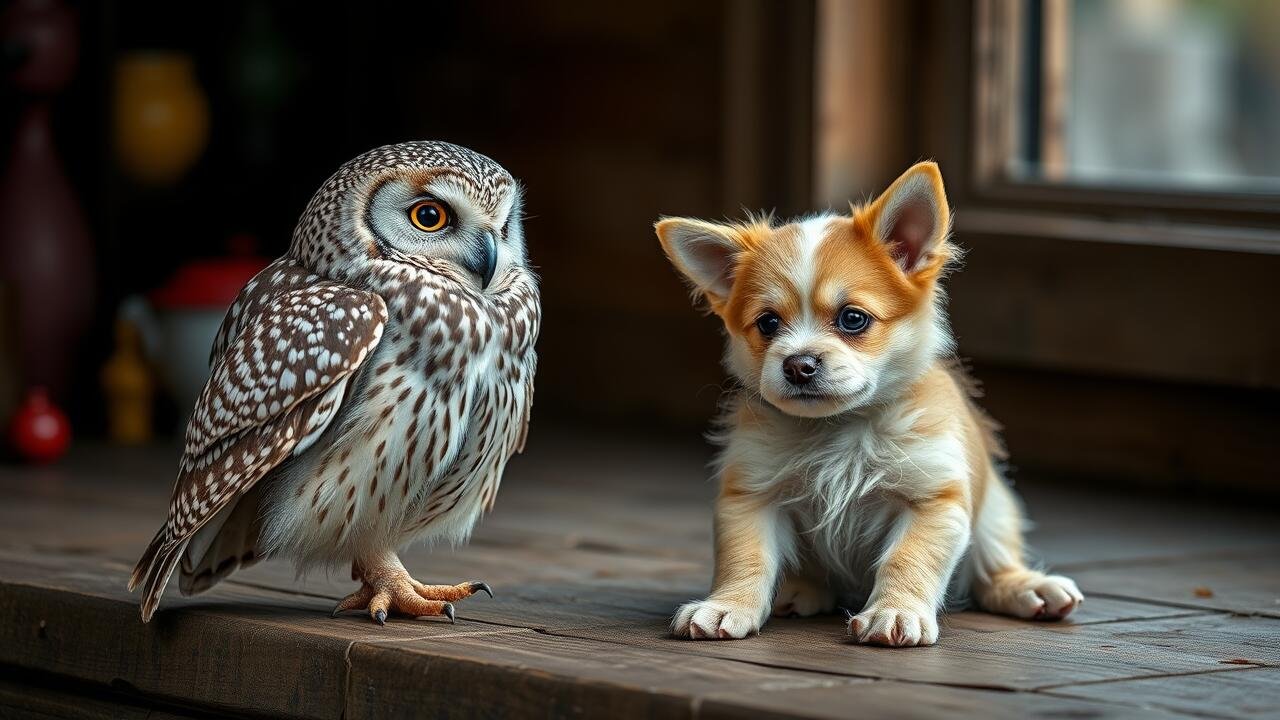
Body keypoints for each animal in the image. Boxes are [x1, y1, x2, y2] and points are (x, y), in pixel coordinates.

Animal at [650, 162, 1080, 645]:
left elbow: (907, 559)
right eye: (768, 324)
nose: (798, 364)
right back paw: (798, 592)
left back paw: (1030, 588)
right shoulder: (750, 496)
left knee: (992, 570)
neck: (841, 427)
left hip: (995, 512)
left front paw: (895, 611)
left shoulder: (933, 499)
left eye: (853, 318)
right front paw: (727, 606)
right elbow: (745, 559)